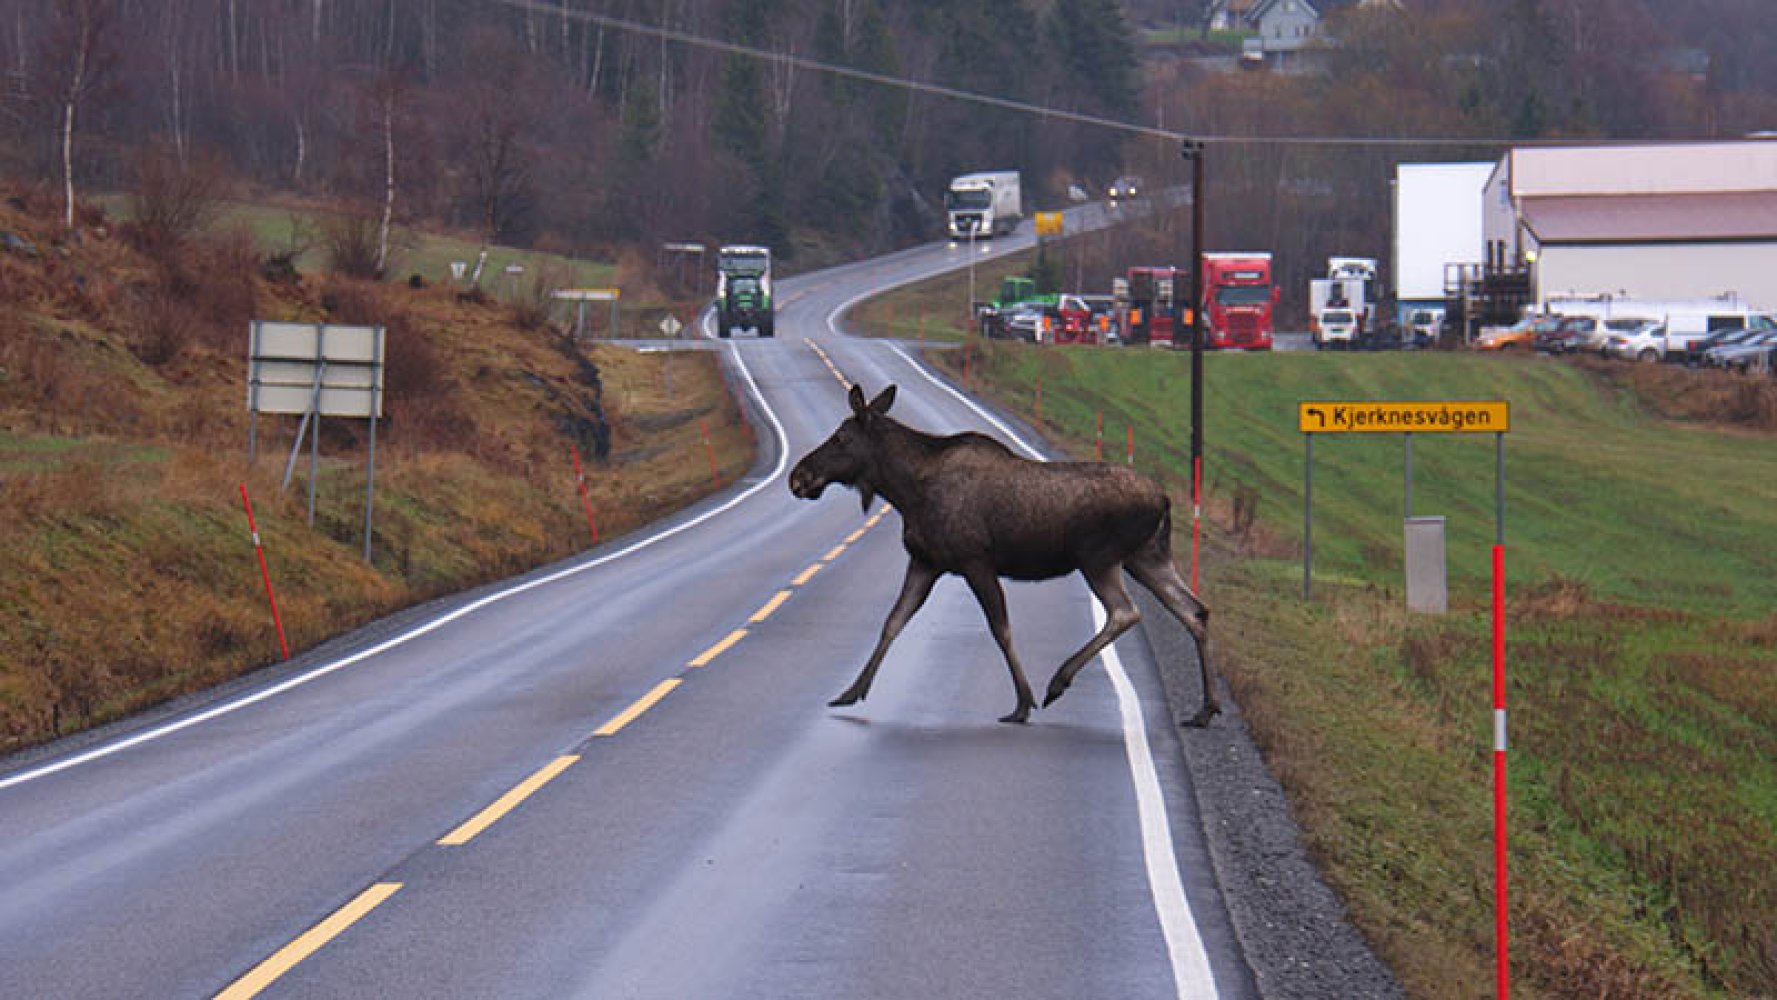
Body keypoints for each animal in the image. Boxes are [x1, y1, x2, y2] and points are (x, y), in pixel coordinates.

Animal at [788, 385, 1215, 728]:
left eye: (841, 437)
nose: (798, 477)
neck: (906, 491)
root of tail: (1164, 499)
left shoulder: (975, 561)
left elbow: (1001, 630)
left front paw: (1022, 704)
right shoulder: (925, 562)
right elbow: (892, 622)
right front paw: (850, 691)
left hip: (1099, 559)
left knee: (1126, 611)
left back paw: (1057, 681)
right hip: (1147, 558)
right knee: (1194, 610)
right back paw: (1205, 710)